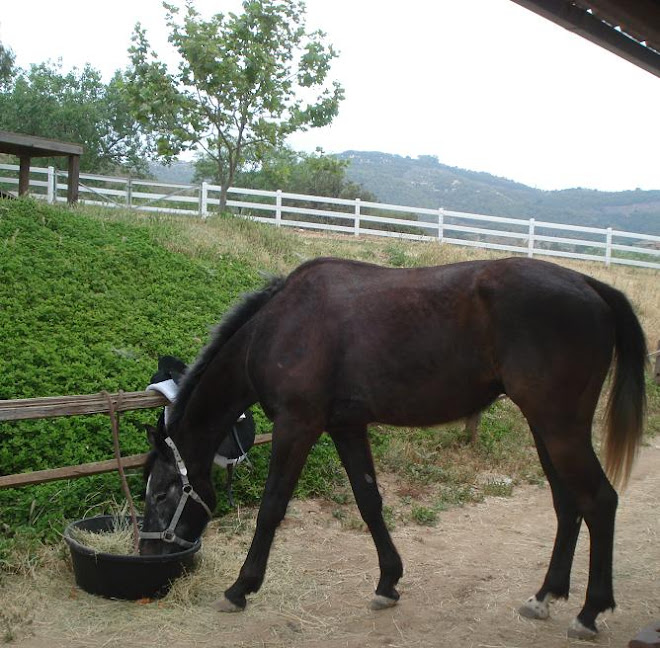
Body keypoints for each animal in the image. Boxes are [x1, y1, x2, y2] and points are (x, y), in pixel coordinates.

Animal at [139, 256, 644, 636]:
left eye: (162, 492)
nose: (147, 556)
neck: (279, 325)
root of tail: (590, 284)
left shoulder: (296, 426)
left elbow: (272, 507)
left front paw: (240, 588)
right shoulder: (346, 427)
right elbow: (369, 502)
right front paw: (388, 582)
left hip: (560, 428)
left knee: (599, 501)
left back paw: (590, 612)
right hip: (547, 428)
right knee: (568, 504)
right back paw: (544, 598)